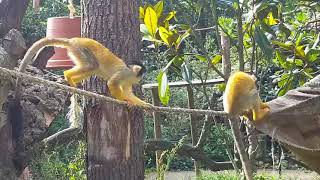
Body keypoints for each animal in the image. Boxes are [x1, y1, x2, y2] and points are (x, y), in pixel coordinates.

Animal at [14, 37, 150, 106]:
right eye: (142, 74)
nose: (141, 79)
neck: (130, 73)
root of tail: (72, 41)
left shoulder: (128, 80)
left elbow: (128, 92)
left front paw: (145, 105)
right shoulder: (124, 73)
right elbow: (112, 83)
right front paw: (124, 100)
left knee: (92, 69)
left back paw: (73, 81)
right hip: (81, 50)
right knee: (92, 66)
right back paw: (68, 76)